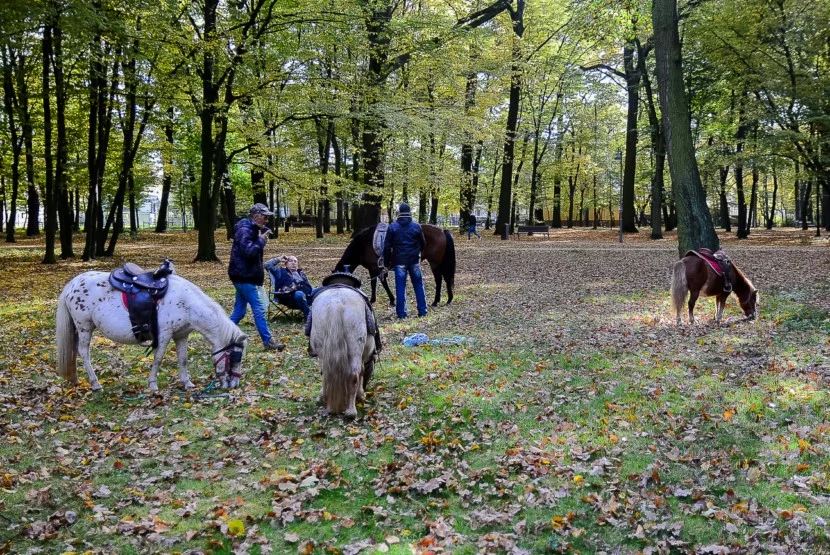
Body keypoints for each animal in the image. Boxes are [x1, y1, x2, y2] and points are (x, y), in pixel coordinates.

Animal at [56, 268, 247, 390]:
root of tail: (73, 283)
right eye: (235, 357)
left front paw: (187, 383)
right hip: (85, 327)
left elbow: (183, 359)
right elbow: (158, 358)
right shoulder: (164, 334)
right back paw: (95, 384)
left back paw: (75, 379)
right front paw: (153, 384)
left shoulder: (182, 335)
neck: (186, 303)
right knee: (83, 352)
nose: (234, 386)